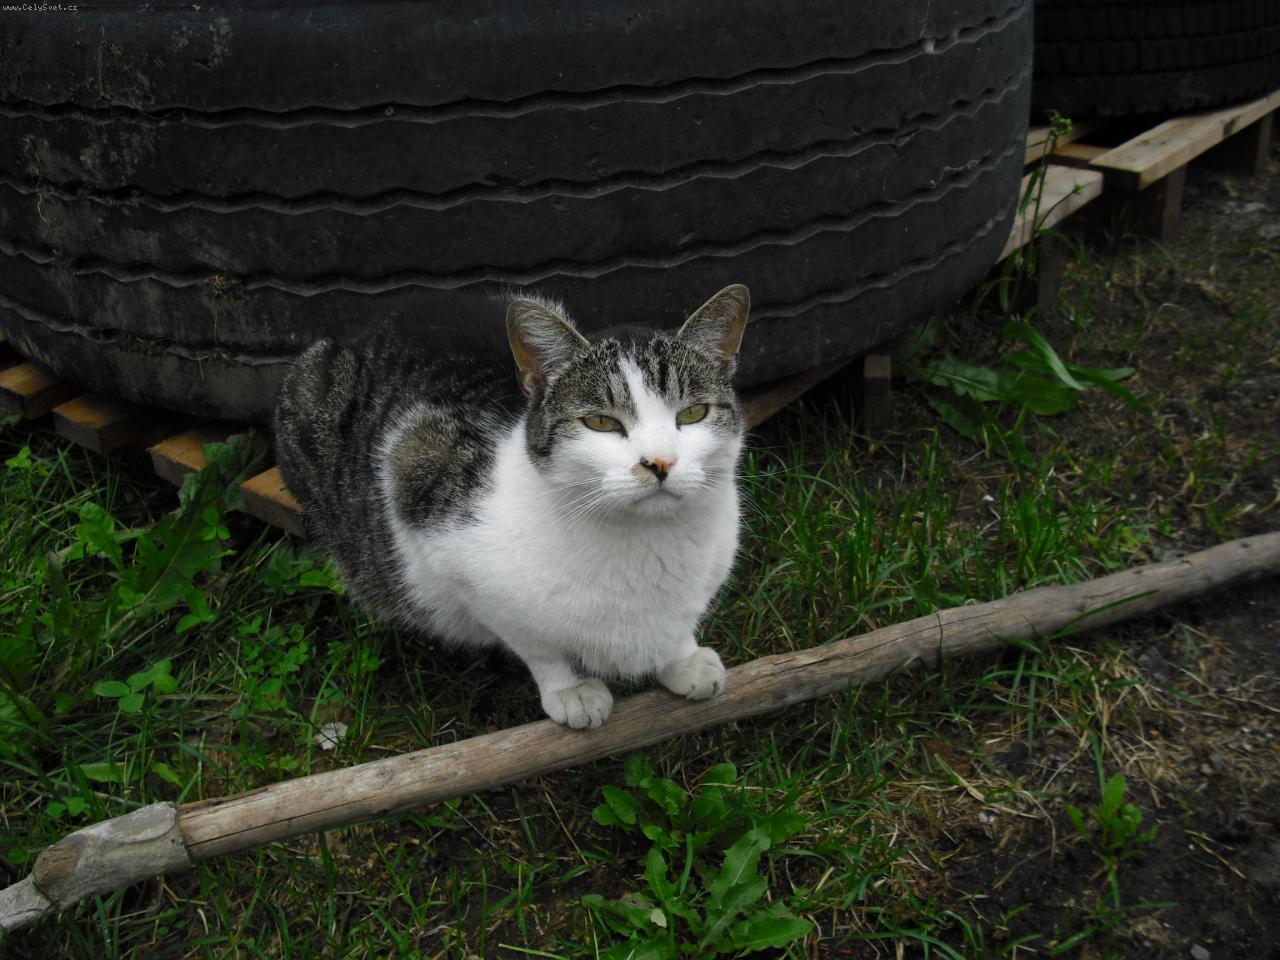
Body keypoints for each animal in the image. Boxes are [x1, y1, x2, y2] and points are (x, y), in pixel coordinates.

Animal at [273, 284, 750, 729]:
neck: (647, 542)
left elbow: (679, 626)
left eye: (693, 413)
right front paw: (571, 690)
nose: (660, 462)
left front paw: (682, 659)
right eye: (600, 422)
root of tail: (367, 325)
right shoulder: (425, 494)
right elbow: (537, 646)